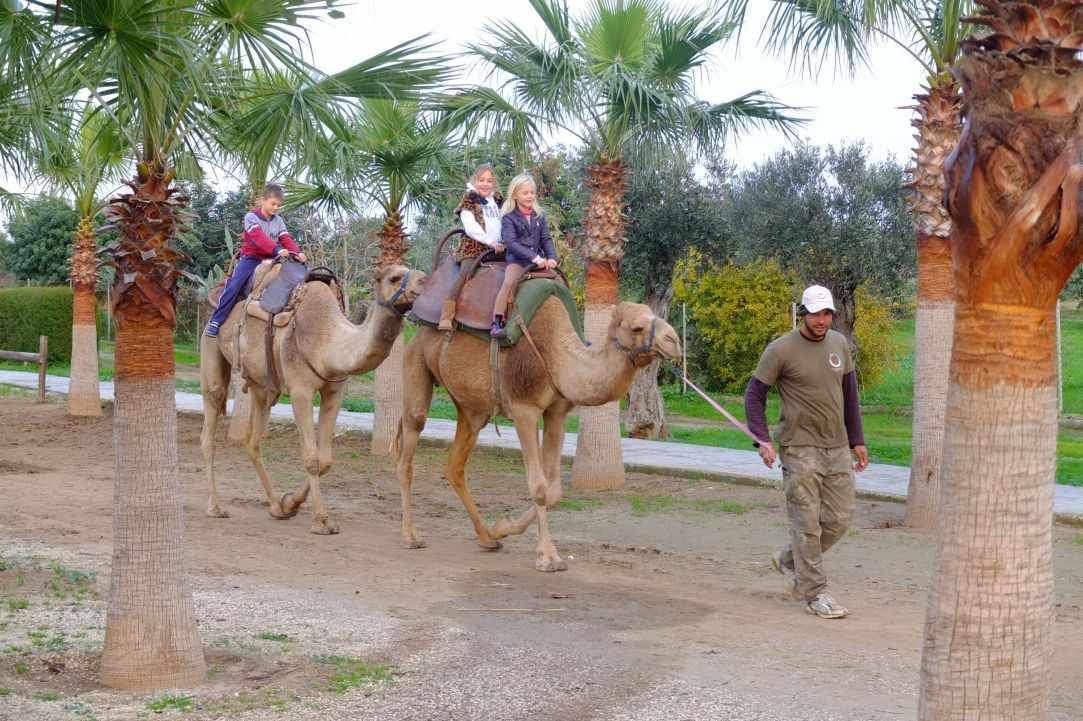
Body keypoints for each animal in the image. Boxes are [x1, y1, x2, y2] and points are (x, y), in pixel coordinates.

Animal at [201, 260, 424, 530]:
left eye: (419, 272)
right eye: (394, 278)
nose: (423, 283)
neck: (328, 341)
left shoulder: (334, 390)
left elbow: (325, 460)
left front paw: (290, 503)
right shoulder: (300, 391)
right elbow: (311, 458)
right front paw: (321, 521)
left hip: (261, 385)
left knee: (252, 441)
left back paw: (276, 507)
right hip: (211, 348)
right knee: (210, 424)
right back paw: (215, 507)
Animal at [394, 296, 680, 567]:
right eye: (637, 327)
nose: (674, 341)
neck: (559, 356)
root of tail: (418, 334)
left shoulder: (556, 413)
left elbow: (554, 491)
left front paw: (502, 528)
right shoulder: (524, 410)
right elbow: (539, 486)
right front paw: (548, 557)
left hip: (473, 409)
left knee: (454, 465)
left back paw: (486, 538)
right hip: (416, 364)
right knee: (409, 448)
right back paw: (411, 536)